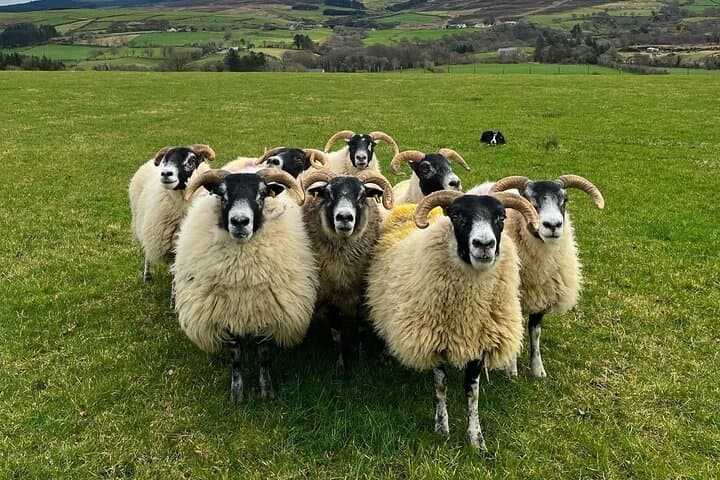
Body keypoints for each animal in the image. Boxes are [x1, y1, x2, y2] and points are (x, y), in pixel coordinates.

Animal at [128, 144, 216, 296]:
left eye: (191, 160)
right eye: (165, 160)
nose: (165, 174)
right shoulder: (169, 247)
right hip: (143, 225)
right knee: (146, 253)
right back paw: (147, 276)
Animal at [173, 167, 317, 403]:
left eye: (262, 194)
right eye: (222, 194)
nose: (240, 221)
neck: (242, 279)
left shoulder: (266, 314)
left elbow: (264, 355)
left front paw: (267, 390)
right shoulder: (227, 316)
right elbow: (236, 356)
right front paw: (237, 392)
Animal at [300, 169, 394, 374]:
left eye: (362, 196)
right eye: (327, 194)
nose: (344, 217)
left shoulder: (362, 294)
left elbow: (362, 327)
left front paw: (363, 358)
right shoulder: (330, 296)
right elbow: (336, 332)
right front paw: (341, 366)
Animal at [366, 190, 539, 451]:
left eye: (501, 217)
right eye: (457, 215)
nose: (484, 244)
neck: (467, 317)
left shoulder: (479, 346)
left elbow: (473, 394)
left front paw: (476, 439)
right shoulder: (434, 344)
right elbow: (440, 388)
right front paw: (442, 428)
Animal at [486, 175, 605, 378]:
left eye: (565, 200)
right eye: (528, 200)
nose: (553, 225)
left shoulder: (542, 296)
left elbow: (536, 333)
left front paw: (537, 369)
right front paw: (511, 369)